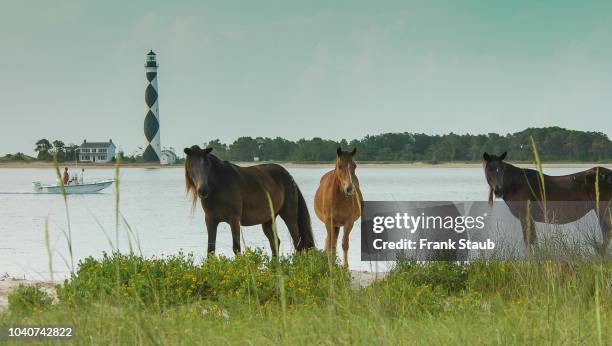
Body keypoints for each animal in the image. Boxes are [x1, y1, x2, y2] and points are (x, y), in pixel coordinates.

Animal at [184, 145, 314, 255]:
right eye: (191, 165)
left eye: (207, 165)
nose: (203, 190)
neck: (220, 185)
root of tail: (290, 177)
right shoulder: (210, 220)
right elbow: (210, 250)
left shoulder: (234, 220)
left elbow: (236, 248)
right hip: (268, 219)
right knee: (275, 242)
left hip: (289, 216)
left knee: (298, 243)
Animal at [482, 152, 612, 254]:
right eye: (489, 170)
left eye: (501, 170)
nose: (498, 190)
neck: (516, 184)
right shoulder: (529, 217)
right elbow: (533, 238)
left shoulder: (524, 215)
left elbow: (528, 239)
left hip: (603, 208)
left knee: (607, 232)